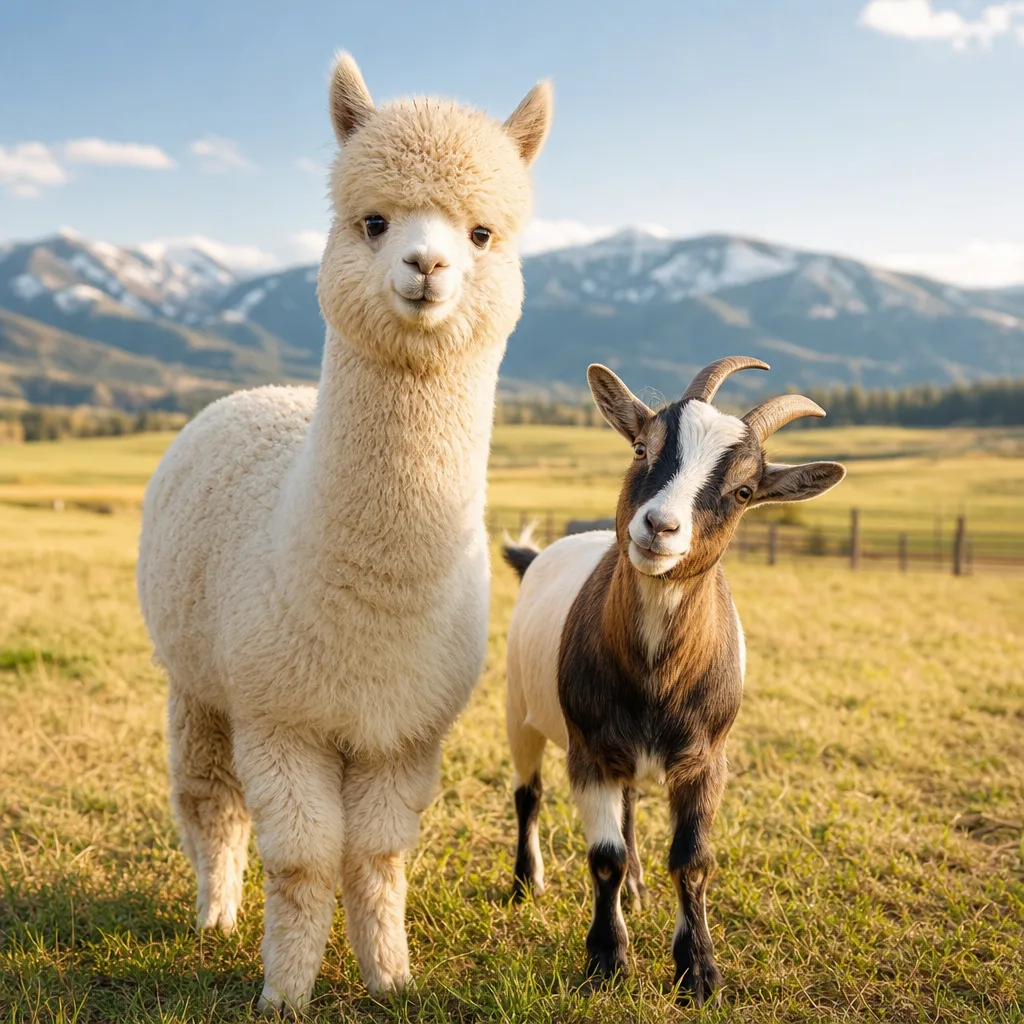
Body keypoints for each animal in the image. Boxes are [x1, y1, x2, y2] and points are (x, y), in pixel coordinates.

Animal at [503, 356, 846, 1003]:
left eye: (743, 492)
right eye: (642, 448)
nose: (659, 527)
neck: (656, 676)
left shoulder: (707, 760)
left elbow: (692, 861)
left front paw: (700, 971)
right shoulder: (589, 753)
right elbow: (603, 855)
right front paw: (607, 961)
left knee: (631, 804)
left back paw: (636, 891)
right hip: (519, 708)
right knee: (527, 793)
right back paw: (525, 882)